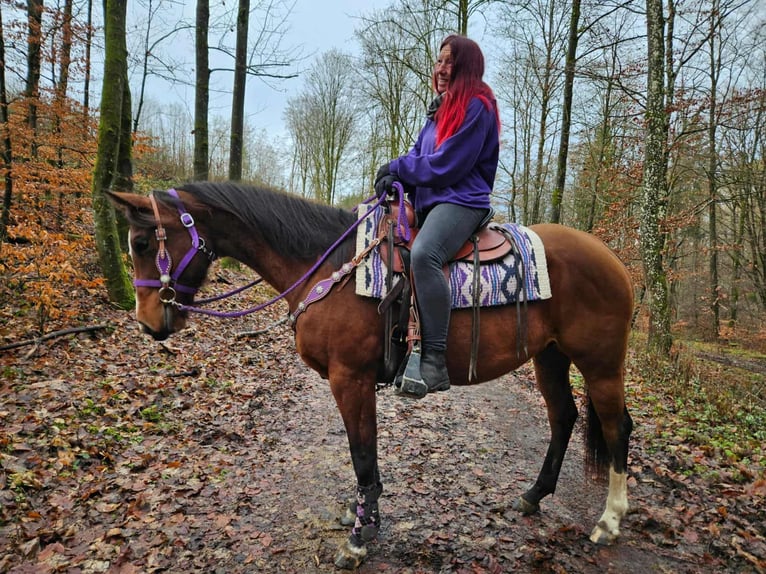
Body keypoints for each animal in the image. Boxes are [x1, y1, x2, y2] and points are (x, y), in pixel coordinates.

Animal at [108, 181, 634, 569]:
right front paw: (361, 515)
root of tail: (614, 260)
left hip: (601, 363)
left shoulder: (351, 379)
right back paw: (533, 496)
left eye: (141, 243)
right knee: (564, 418)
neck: (328, 266)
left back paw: (610, 522)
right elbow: (364, 454)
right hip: (550, 357)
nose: (148, 323)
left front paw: (360, 537)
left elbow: (362, 454)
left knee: (616, 428)